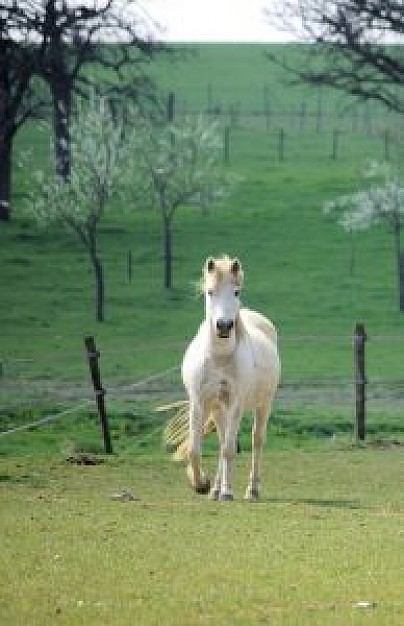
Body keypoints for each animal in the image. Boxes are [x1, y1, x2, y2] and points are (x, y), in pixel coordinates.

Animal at [166, 251, 280, 500]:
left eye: (236, 292)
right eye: (210, 291)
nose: (224, 326)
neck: (219, 357)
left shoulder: (236, 403)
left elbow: (229, 450)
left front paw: (227, 492)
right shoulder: (199, 403)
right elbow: (195, 449)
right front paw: (202, 485)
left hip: (263, 404)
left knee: (256, 441)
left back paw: (251, 490)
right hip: (218, 408)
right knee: (221, 441)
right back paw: (215, 489)